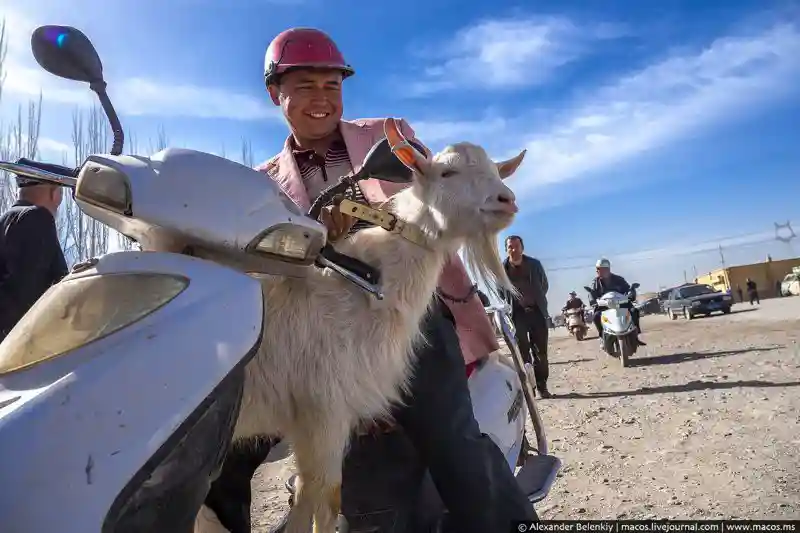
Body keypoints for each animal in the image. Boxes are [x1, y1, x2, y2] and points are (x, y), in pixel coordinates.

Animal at [230, 118, 524, 528]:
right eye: (446, 172)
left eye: (497, 171)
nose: (506, 200)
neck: (364, 285)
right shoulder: (323, 409)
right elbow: (319, 498)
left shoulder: (319, 418)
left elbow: (319, 498)